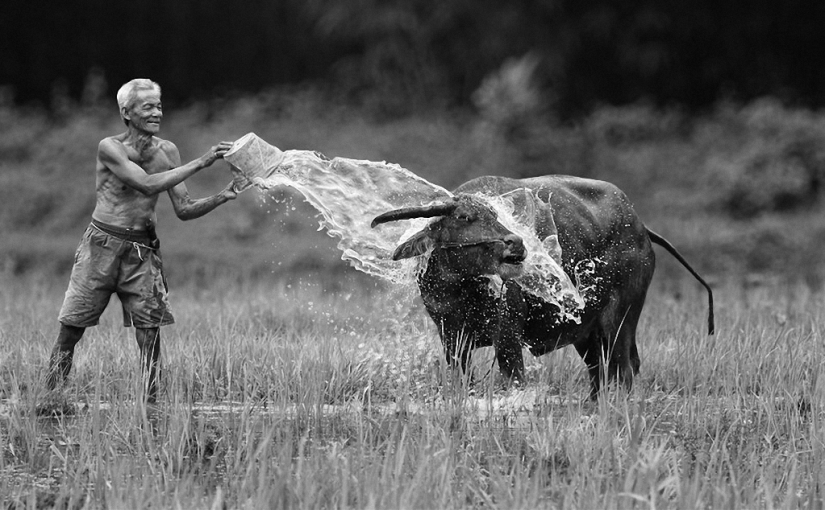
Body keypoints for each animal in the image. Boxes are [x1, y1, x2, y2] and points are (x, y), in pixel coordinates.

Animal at [370, 175, 712, 398]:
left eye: (494, 214)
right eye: (465, 217)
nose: (516, 242)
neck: (461, 289)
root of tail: (640, 227)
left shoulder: (507, 336)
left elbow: (514, 380)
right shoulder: (451, 338)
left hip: (621, 317)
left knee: (624, 368)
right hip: (587, 331)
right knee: (599, 371)